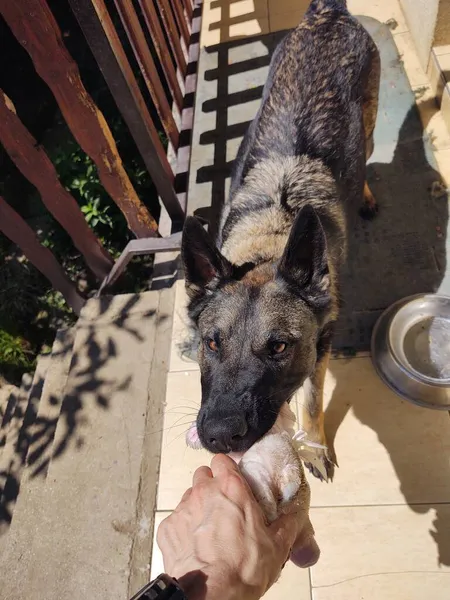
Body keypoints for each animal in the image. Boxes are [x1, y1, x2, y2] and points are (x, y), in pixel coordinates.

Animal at [181, 0, 378, 480]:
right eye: (211, 342)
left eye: (279, 347)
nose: (219, 438)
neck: (271, 239)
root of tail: (327, 13)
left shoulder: (322, 348)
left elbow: (312, 400)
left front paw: (312, 448)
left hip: (367, 127)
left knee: (367, 154)